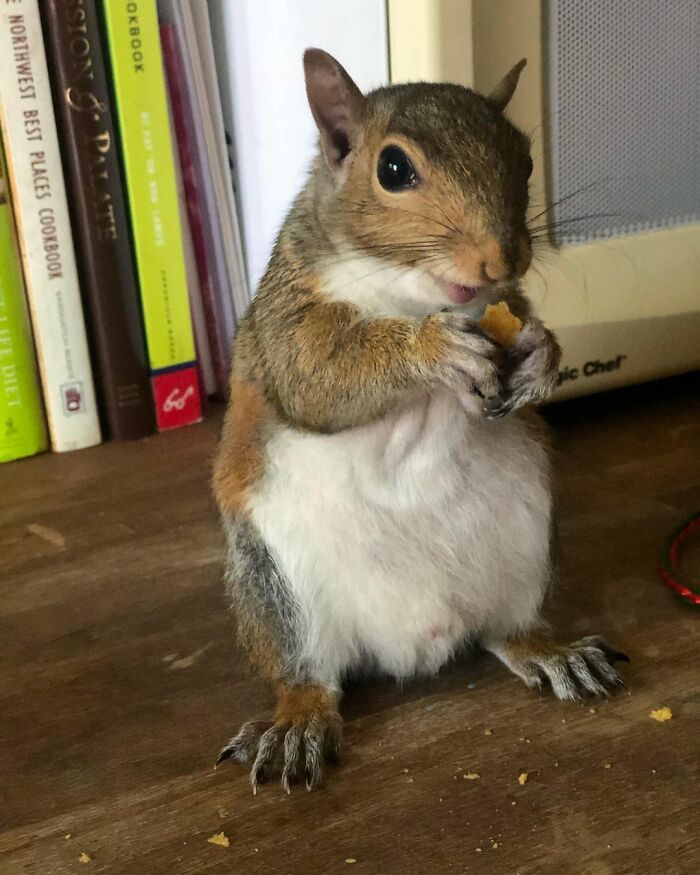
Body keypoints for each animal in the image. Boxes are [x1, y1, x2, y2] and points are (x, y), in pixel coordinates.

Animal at [213, 49, 628, 793]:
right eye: (394, 169)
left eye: (526, 159)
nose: (503, 258)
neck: (412, 291)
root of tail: (413, 642)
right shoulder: (284, 317)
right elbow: (315, 376)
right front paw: (432, 350)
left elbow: (523, 323)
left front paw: (542, 355)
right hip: (275, 582)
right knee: (306, 674)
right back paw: (297, 725)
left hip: (528, 542)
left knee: (504, 629)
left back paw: (553, 653)